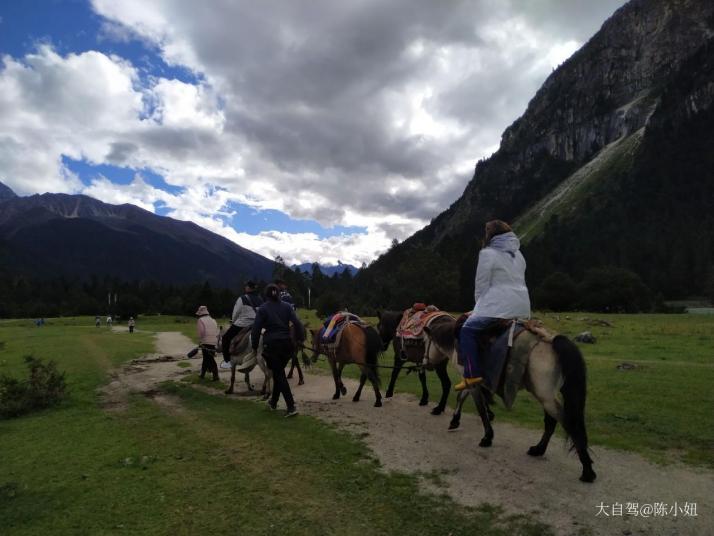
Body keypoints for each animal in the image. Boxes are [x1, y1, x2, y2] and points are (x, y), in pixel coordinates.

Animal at [422, 316, 596, 484]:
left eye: (424, 343)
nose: (425, 364)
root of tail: (552, 340)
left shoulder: (472, 380)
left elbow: (481, 409)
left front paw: (487, 437)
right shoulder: (470, 380)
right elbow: (462, 397)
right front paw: (454, 421)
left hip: (545, 396)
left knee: (569, 423)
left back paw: (587, 471)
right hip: (546, 396)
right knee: (551, 421)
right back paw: (538, 449)